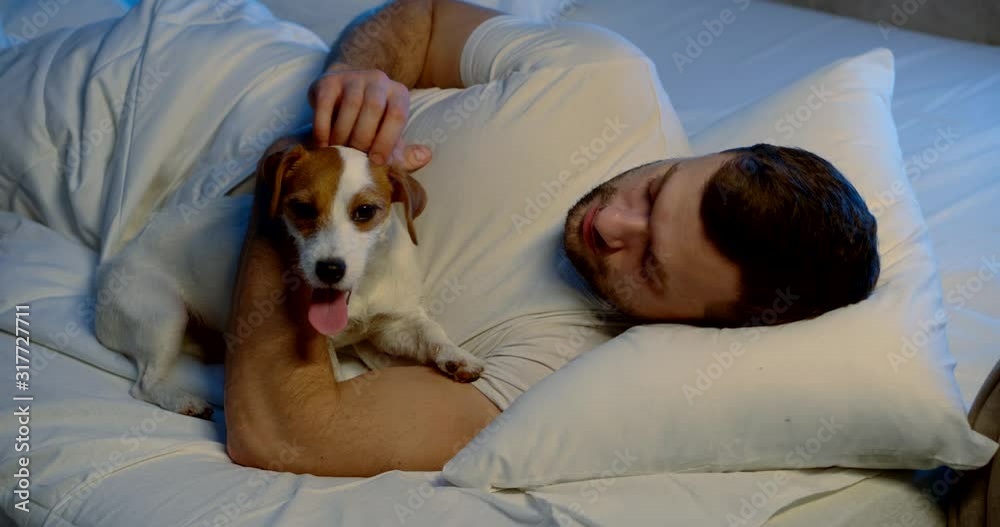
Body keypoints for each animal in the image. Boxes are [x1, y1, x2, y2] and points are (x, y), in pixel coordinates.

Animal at [95, 138, 486, 418]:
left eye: (365, 211)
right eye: (301, 208)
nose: (330, 269)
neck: (360, 293)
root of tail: (110, 265)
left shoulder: (394, 324)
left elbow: (431, 332)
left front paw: (456, 356)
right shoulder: (320, 344)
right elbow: (336, 372)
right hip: (163, 315)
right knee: (144, 383)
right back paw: (182, 400)